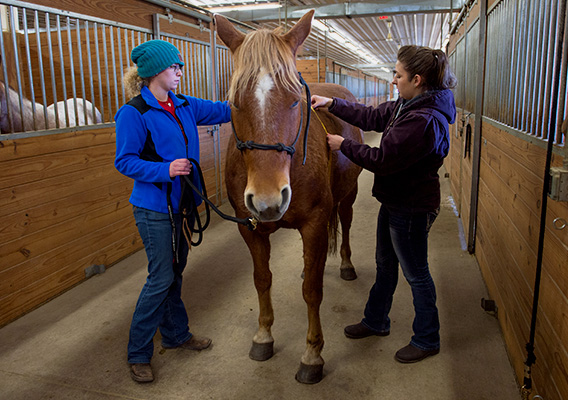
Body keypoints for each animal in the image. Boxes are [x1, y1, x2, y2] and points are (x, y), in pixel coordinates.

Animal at [215, 10, 366, 382]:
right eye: (233, 102)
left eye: (295, 98)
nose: (268, 199)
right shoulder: (250, 229)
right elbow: (262, 280)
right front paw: (263, 336)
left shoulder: (314, 224)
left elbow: (312, 291)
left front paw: (312, 355)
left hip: (348, 197)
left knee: (345, 225)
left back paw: (345, 265)